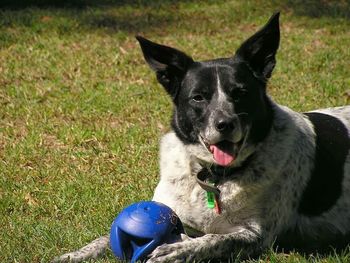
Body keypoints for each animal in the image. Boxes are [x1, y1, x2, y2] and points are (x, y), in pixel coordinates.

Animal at [53, 12, 350, 263]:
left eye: (240, 93)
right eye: (198, 97)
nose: (225, 124)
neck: (212, 176)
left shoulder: (256, 235)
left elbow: (212, 240)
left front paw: (175, 250)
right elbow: (104, 237)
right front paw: (73, 254)